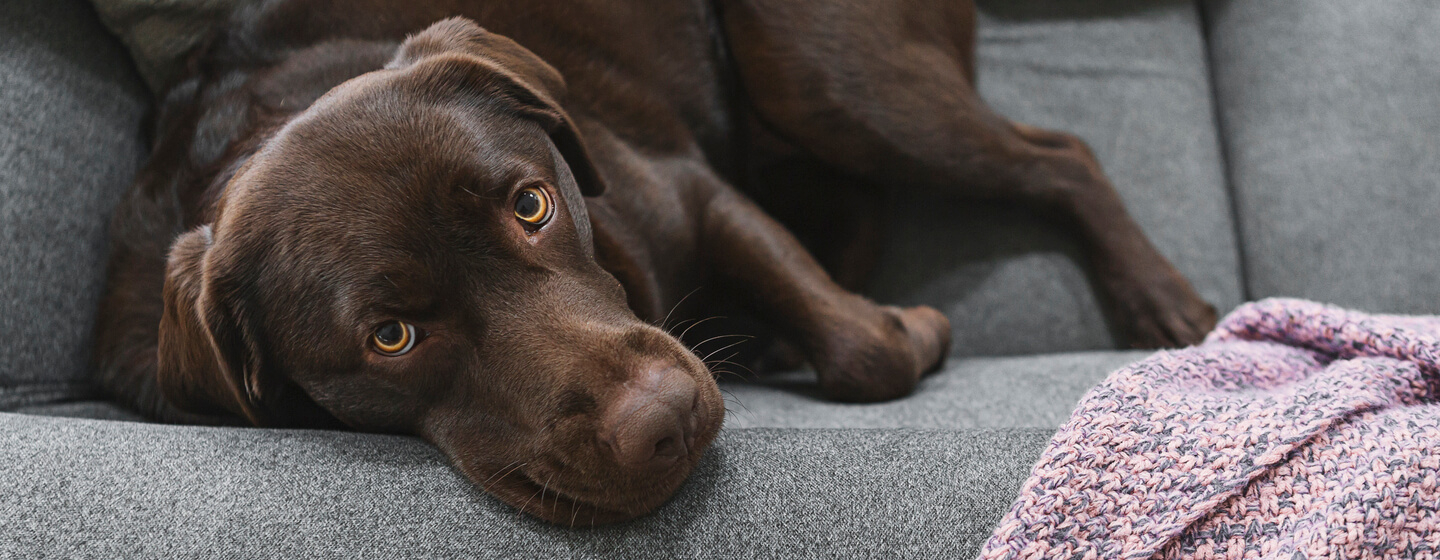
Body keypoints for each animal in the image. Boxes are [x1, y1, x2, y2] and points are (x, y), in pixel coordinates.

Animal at [92, 0, 1215, 524]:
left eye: (533, 204)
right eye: (391, 335)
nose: (665, 419)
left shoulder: (690, 190)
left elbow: (861, 349)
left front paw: (905, 332)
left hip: (822, 74)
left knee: (1057, 156)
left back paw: (1165, 303)